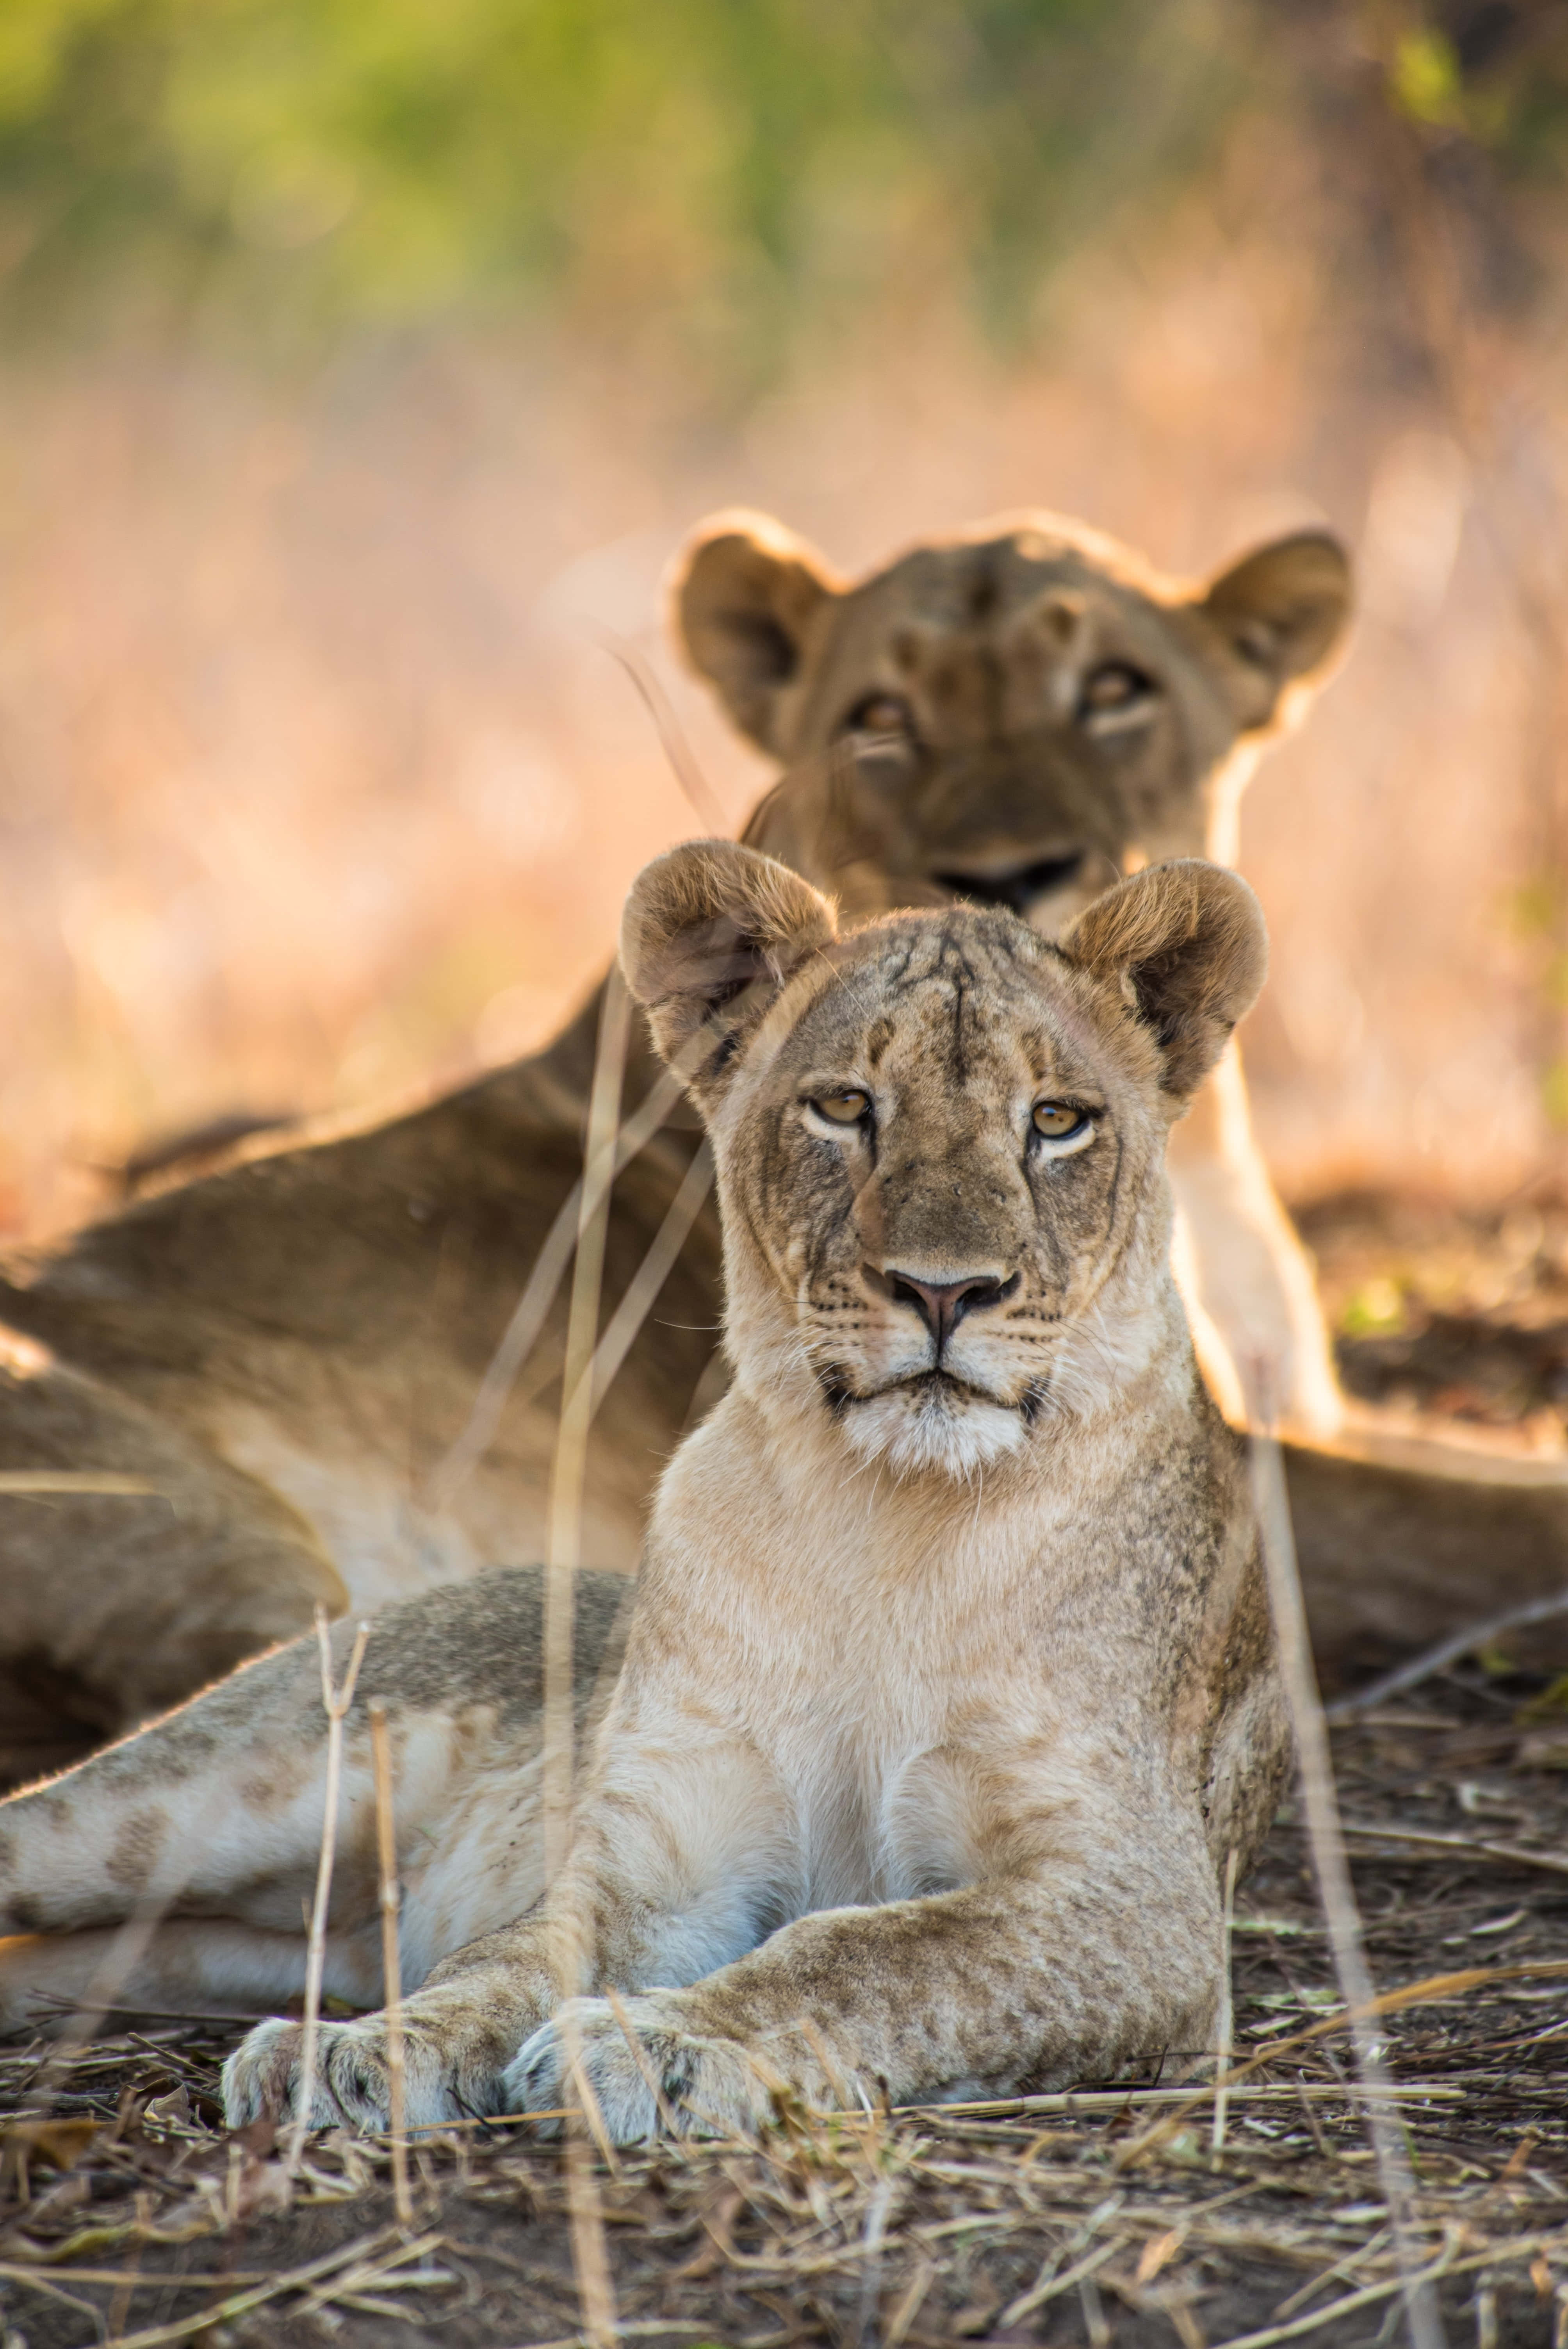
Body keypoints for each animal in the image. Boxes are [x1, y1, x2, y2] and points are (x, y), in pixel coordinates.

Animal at [0, 847, 1288, 2134]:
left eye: (1057, 1122)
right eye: (845, 1107)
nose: (944, 1289)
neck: (885, 1514)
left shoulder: (1141, 1902)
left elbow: (873, 1952)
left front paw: (664, 2044)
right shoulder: (665, 1850)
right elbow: (518, 1955)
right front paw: (362, 2052)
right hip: (209, 1786)